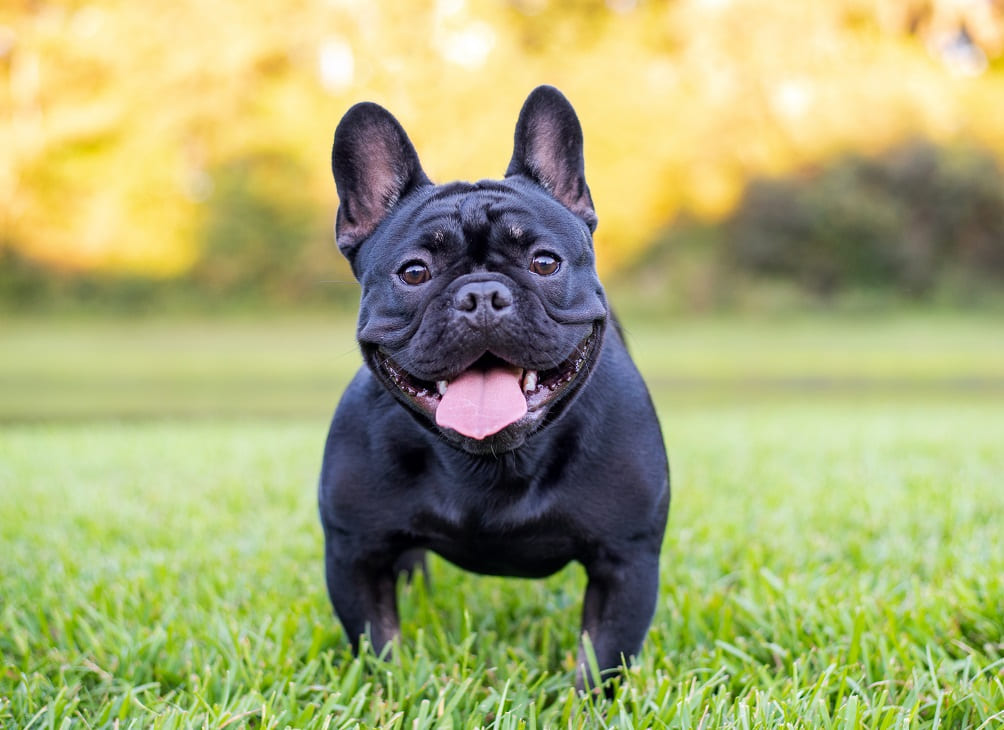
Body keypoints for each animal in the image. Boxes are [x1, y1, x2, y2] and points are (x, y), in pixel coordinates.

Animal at [317, 85, 670, 690]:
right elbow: (379, 643)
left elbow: (600, 660)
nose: (481, 295)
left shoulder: (626, 562)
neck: (491, 463)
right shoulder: (355, 554)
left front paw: (583, 705)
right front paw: (396, 693)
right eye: (414, 273)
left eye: (545, 262)